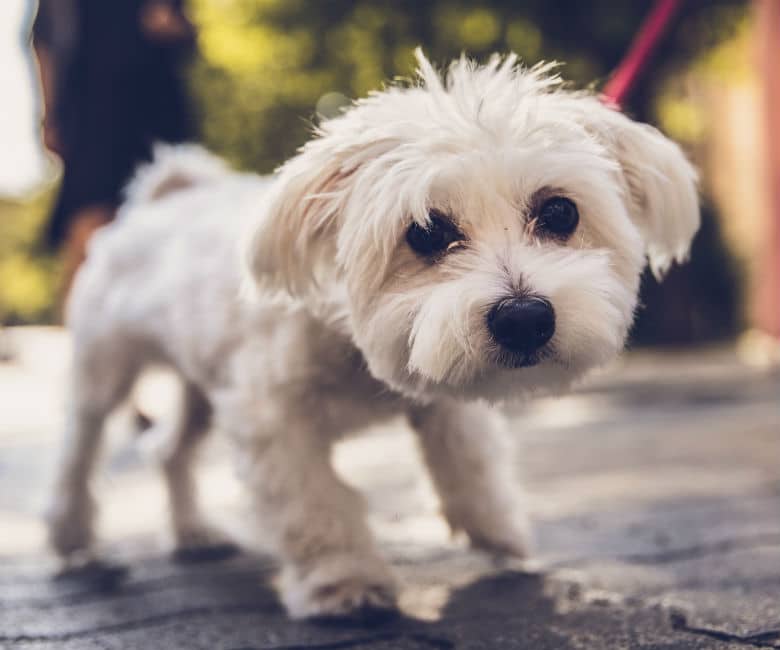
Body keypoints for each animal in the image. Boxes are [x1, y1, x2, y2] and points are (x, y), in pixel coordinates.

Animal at [47, 50, 696, 616]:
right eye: (427, 232)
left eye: (561, 212)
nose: (524, 317)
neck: (353, 344)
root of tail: (161, 201)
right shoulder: (271, 419)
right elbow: (314, 503)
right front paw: (343, 582)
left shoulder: (440, 394)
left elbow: (470, 462)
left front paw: (497, 531)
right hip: (102, 371)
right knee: (81, 448)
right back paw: (70, 536)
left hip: (201, 387)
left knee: (169, 449)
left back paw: (192, 533)